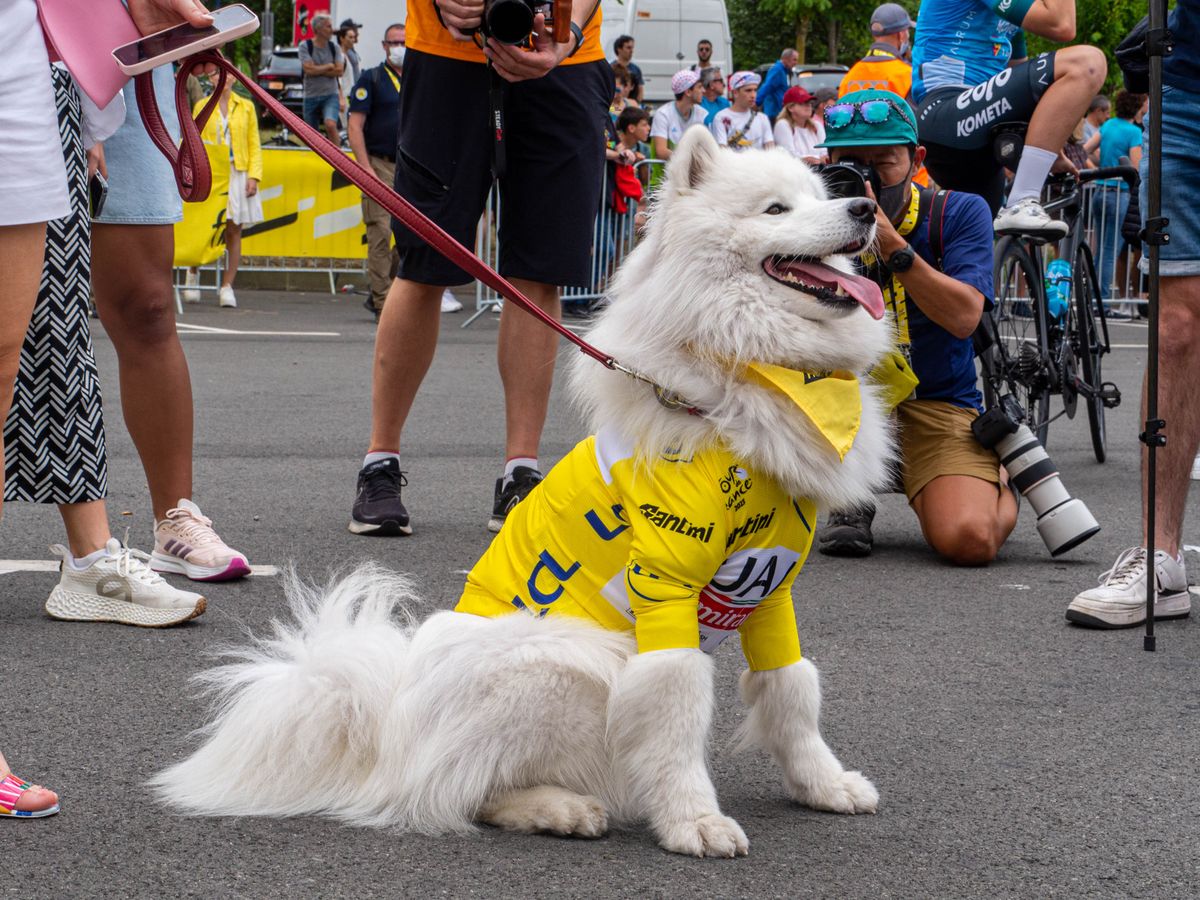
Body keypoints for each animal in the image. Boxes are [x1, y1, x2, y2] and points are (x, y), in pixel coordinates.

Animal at [150, 125, 897, 859]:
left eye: (820, 195)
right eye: (775, 210)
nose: (865, 208)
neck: (740, 384)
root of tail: (389, 729)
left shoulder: (769, 583)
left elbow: (791, 690)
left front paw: (823, 785)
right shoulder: (667, 580)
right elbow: (677, 705)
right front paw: (694, 820)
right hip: (567, 660)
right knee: (455, 790)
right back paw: (558, 808)